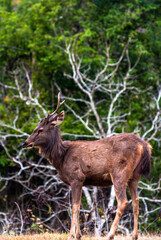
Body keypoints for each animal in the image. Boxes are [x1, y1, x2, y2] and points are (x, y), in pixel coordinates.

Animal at [22, 93, 151, 239]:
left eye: (40, 130)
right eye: (35, 129)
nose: (25, 143)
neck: (61, 158)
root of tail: (143, 145)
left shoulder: (76, 177)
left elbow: (74, 206)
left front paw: (71, 235)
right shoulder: (81, 181)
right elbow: (78, 206)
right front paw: (78, 235)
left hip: (119, 173)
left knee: (123, 202)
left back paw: (110, 235)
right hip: (134, 176)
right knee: (136, 201)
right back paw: (134, 235)